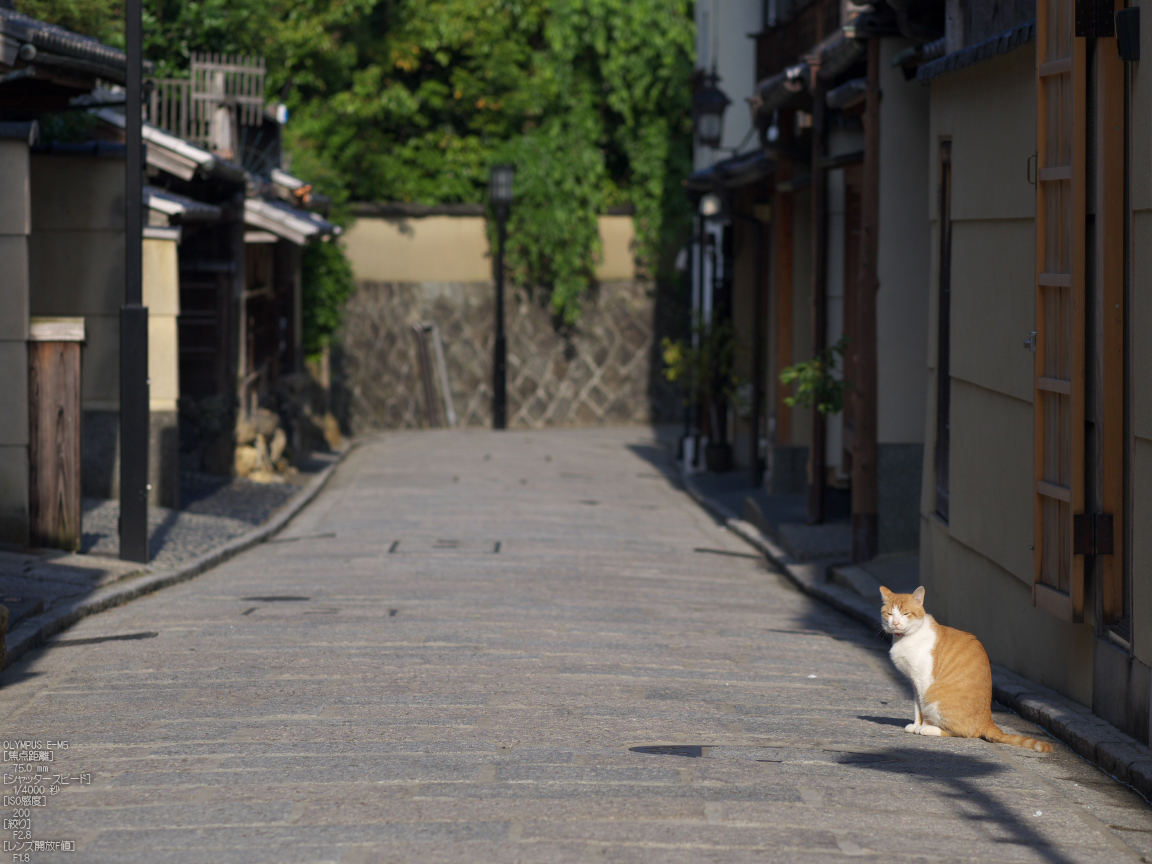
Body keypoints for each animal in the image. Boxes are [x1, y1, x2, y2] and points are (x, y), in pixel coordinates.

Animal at [880, 585, 1055, 755]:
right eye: (889, 613)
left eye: (906, 613)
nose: (895, 623)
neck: (906, 638)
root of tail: (988, 720)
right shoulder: (914, 683)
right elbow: (917, 708)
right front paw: (916, 725)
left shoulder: (924, 681)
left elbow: (924, 709)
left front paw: (922, 727)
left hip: (936, 697)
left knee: (963, 732)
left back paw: (930, 729)